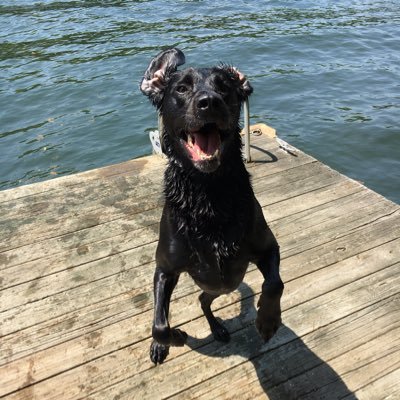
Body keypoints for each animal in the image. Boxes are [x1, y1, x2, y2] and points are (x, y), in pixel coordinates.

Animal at [141, 48, 284, 364]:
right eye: (181, 88)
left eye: (225, 87)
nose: (209, 102)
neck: (208, 196)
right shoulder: (164, 269)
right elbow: (160, 325)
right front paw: (174, 338)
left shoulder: (268, 247)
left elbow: (274, 285)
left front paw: (268, 321)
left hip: (223, 284)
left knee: (203, 300)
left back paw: (218, 327)